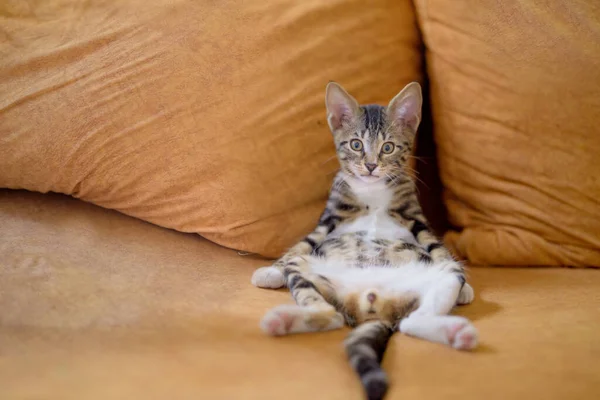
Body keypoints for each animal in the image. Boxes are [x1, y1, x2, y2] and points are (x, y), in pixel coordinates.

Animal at [251, 81, 476, 400]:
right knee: (329, 312)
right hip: (310, 274)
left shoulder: (414, 215)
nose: (370, 166)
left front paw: (466, 288)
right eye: (356, 144)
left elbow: (435, 244)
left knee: (410, 320)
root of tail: (371, 303)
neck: (372, 190)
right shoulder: (331, 215)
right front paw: (271, 271)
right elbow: (304, 242)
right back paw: (282, 320)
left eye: (388, 147)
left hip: (440, 278)